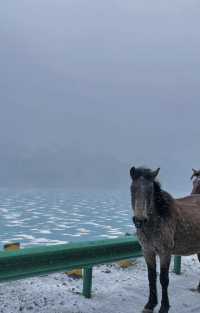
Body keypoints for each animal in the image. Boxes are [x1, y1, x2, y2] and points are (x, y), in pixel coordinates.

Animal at [130, 167, 200, 310]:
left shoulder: (165, 252)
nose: (139, 220)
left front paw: (164, 306)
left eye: (150, 191)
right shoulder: (147, 251)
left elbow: (163, 279)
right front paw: (150, 303)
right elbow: (151, 277)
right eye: (132, 189)